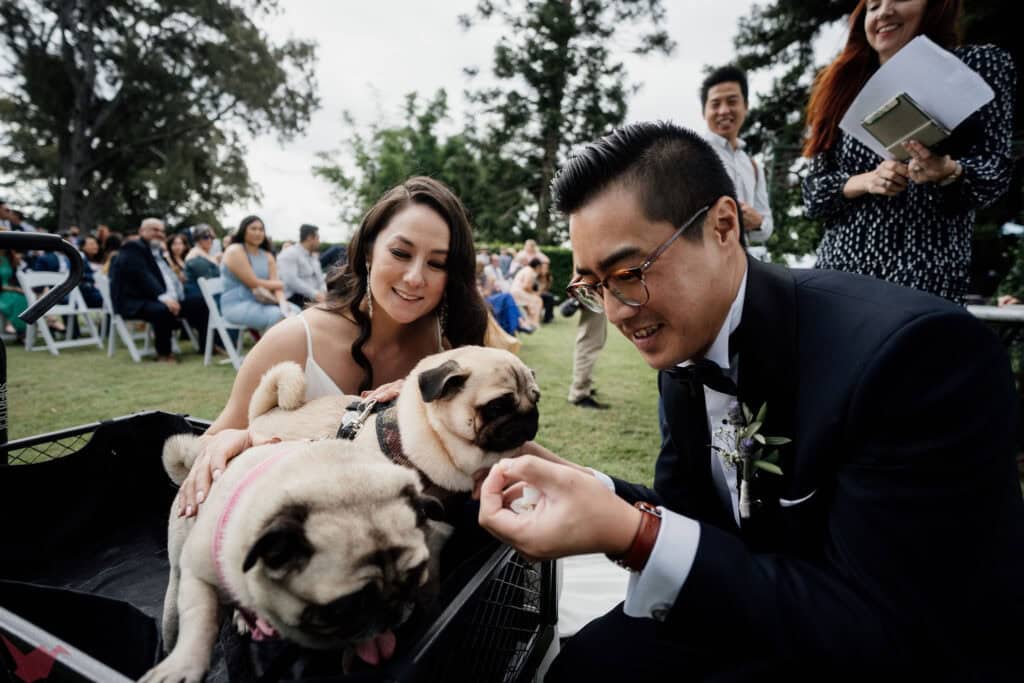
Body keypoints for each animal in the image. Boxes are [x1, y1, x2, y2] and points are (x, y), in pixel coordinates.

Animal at [140, 438, 440, 683]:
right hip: (177, 579)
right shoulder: (198, 573)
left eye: (416, 577)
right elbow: (199, 617)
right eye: (345, 606)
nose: (393, 610)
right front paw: (183, 666)